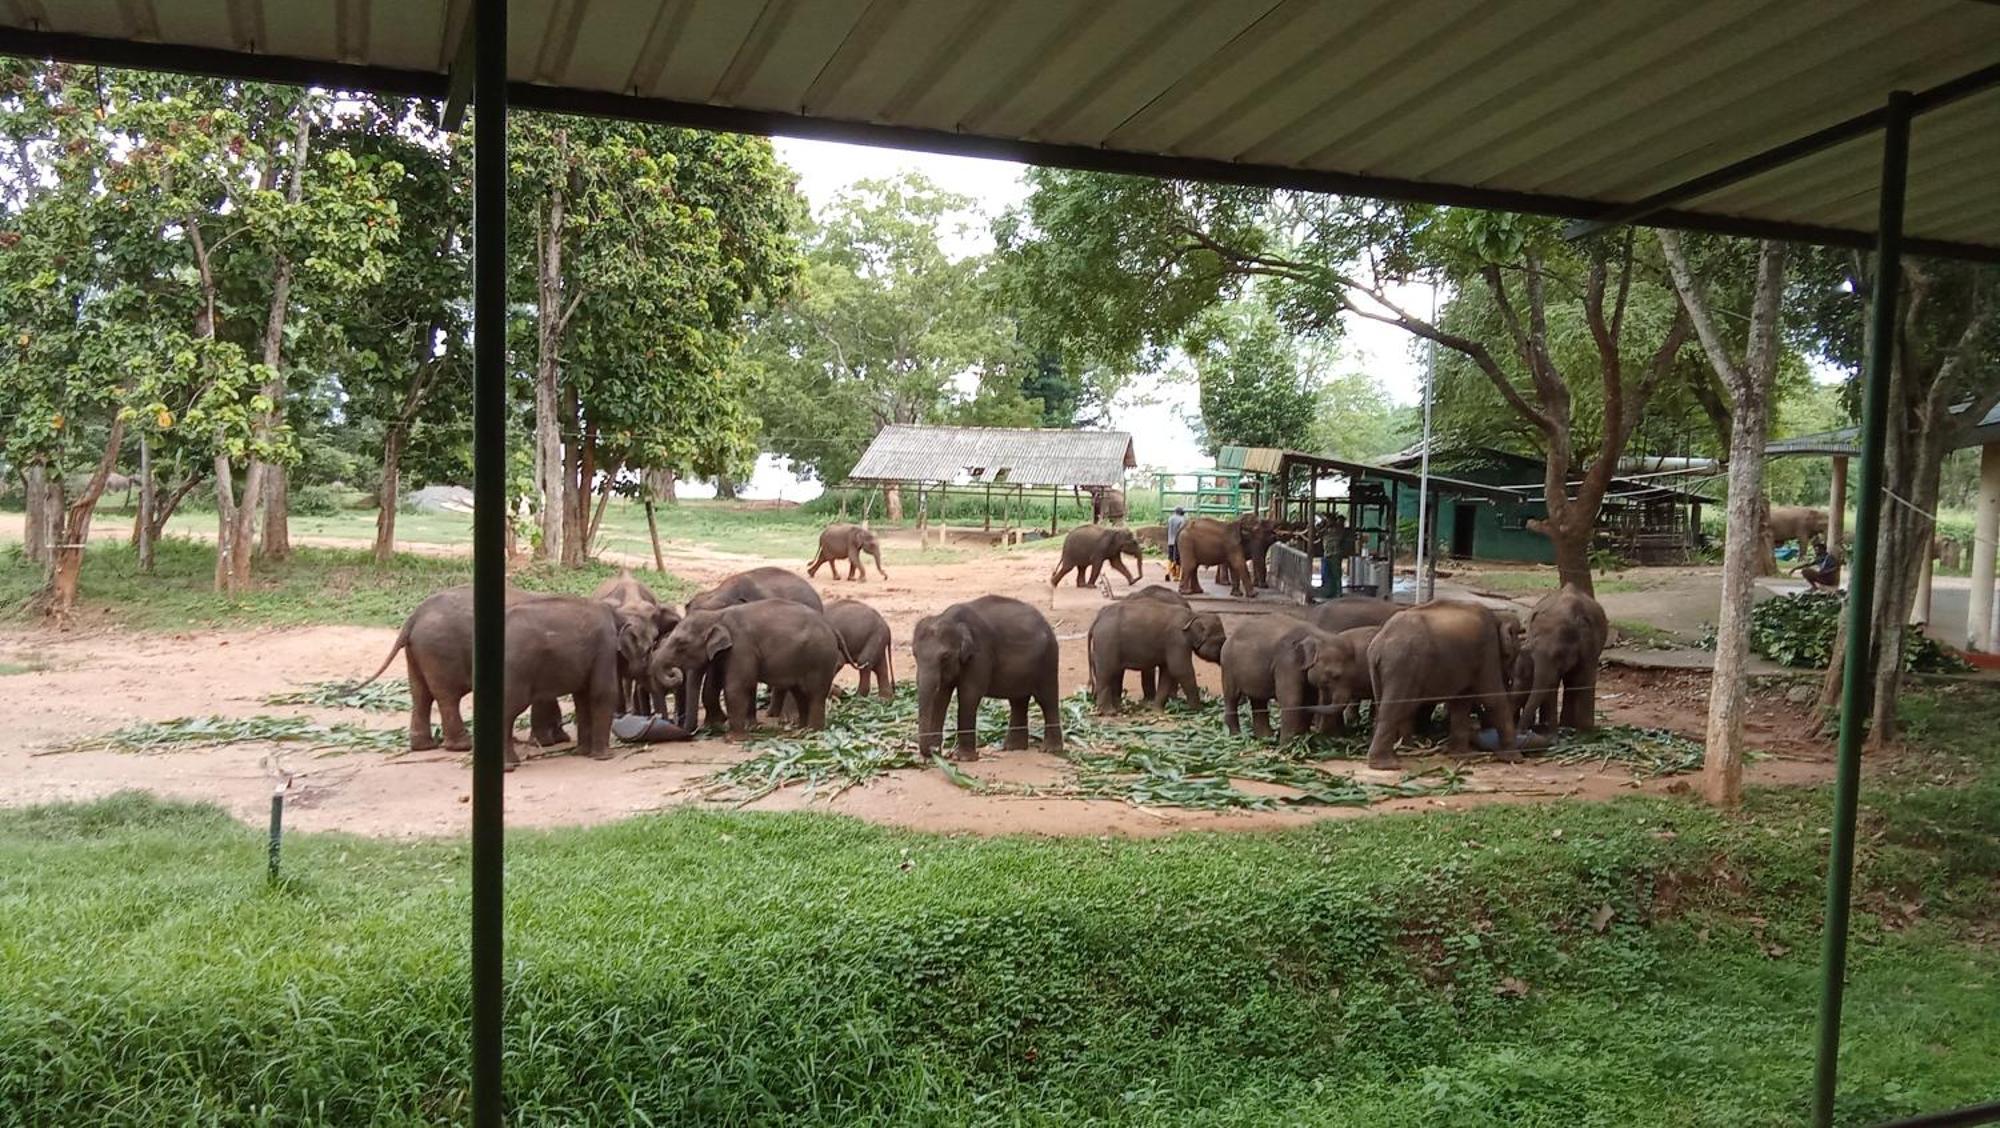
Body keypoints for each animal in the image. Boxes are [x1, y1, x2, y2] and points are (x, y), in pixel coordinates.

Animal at [652, 600, 840, 740]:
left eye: (681, 644)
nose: (684, 729)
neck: (717, 615)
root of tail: (831, 628)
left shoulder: (742, 647)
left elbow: (735, 687)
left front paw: (732, 739)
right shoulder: (725, 653)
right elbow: (715, 682)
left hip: (820, 659)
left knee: (815, 694)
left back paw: (813, 733)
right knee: (800, 693)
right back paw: (801, 730)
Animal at [912, 596, 1064, 764]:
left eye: (945, 657)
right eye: (915, 654)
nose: (933, 751)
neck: (952, 620)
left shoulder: (980, 654)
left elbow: (969, 695)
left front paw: (963, 758)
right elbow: (941, 697)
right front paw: (935, 754)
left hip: (1049, 659)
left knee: (1046, 700)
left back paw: (1049, 749)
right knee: (1018, 701)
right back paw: (1013, 748)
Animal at [1088, 596, 1224, 708]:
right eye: (1221, 641)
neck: (1193, 616)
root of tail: (1098, 618)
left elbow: (1168, 672)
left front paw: (1157, 710)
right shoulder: (1177, 641)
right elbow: (1181, 670)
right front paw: (1198, 709)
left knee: (1113, 673)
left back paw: (1117, 708)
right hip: (1107, 642)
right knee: (1106, 673)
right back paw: (1109, 712)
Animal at [1368, 604, 1520, 772]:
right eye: (1514, 655)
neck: (1498, 616)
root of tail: (1380, 642)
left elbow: (1461, 703)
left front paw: (1462, 757)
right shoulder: (1488, 651)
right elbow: (1493, 699)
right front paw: (1515, 759)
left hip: (1381, 668)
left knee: (1383, 705)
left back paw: (1391, 758)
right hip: (1403, 664)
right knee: (1395, 708)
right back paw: (1386, 765)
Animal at [1512, 588, 1608, 736]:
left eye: (1559, 655)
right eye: (1533, 651)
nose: (1520, 732)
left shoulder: (1590, 648)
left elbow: (1583, 679)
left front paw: (1585, 733)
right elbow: (1552, 683)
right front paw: (1552, 734)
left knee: (1573, 681)